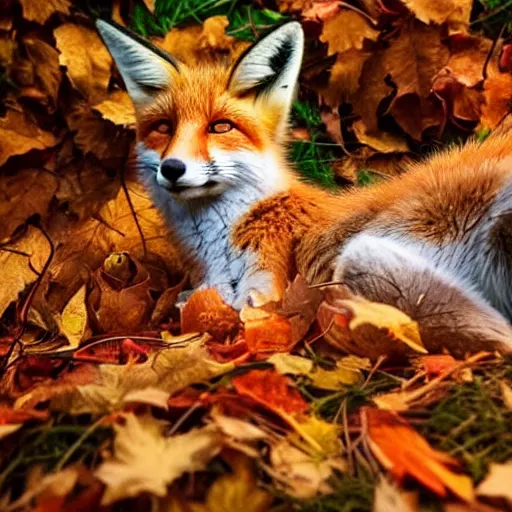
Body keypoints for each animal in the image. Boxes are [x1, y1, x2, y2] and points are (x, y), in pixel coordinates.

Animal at [96, 21, 512, 356]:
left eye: (220, 127)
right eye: (164, 127)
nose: (172, 168)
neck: (223, 244)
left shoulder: (267, 288)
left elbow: (225, 311)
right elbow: (197, 302)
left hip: (364, 257)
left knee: (500, 337)